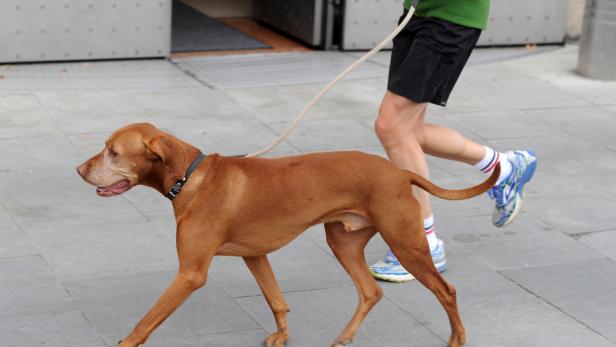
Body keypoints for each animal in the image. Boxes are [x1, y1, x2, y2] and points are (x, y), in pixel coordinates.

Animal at [77, 123, 500, 347]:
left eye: (112, 152)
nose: (79, 170)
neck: (191, 177)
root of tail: (400, 172)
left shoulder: (190, 274)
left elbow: (146, 321)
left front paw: (124, 344)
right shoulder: (254, 254)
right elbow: (277, 301)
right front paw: (282, 336)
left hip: (405, 243)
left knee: (446, 291)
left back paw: (457, 338)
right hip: (343, 242)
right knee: (370, 292)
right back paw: (344, 337)